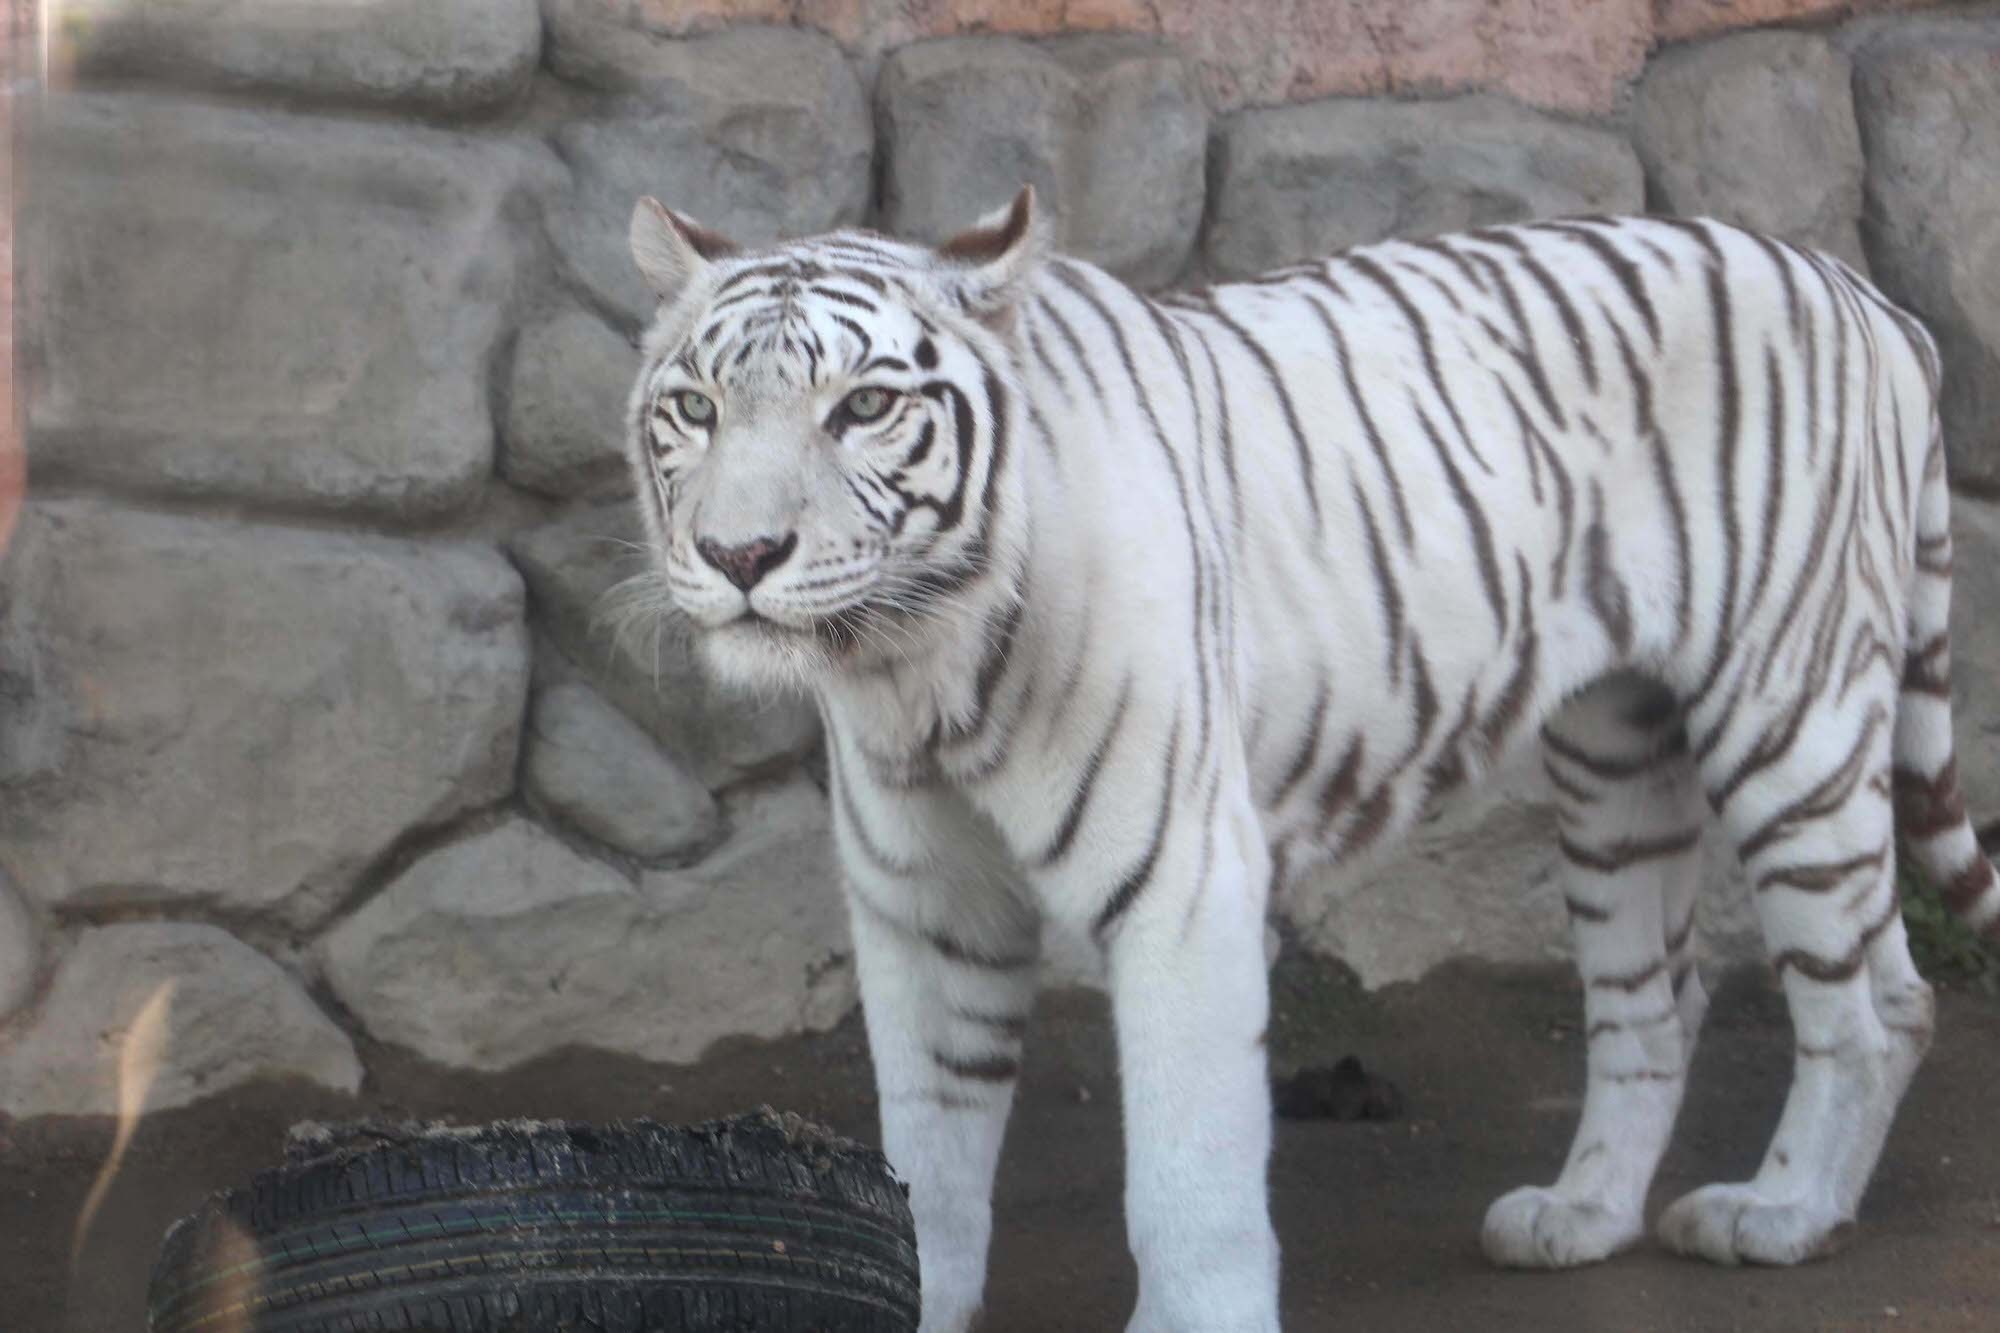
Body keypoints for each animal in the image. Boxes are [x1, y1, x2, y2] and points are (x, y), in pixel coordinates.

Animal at [616, 189, 1992, 1328]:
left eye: (862, 406)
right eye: (695, 408)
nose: (741, 556)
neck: (910, 665)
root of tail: (1861, 292)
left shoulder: (1179, 884)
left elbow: (1186, 1171)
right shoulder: (925, 908)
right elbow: (931, 1159)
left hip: (1791, 716)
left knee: (1877, 1002)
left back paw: (1782, 1212)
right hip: (1617, 752)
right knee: (1657, 995)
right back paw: (1577, 1214)